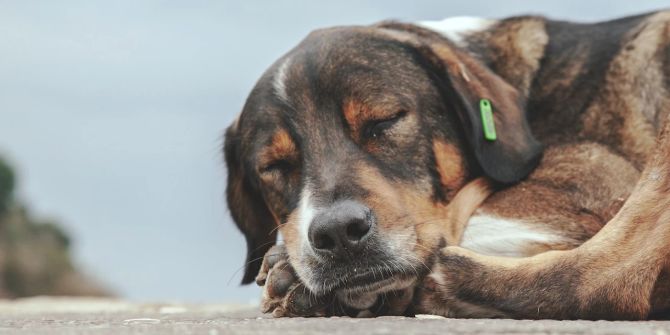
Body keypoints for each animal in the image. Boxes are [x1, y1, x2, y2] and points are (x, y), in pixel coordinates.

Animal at [224, 11, 670, 320]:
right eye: (274, 166)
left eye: (384, 121)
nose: (337, 232)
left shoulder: (598, 180)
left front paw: (292, 271)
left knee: (602, 280)